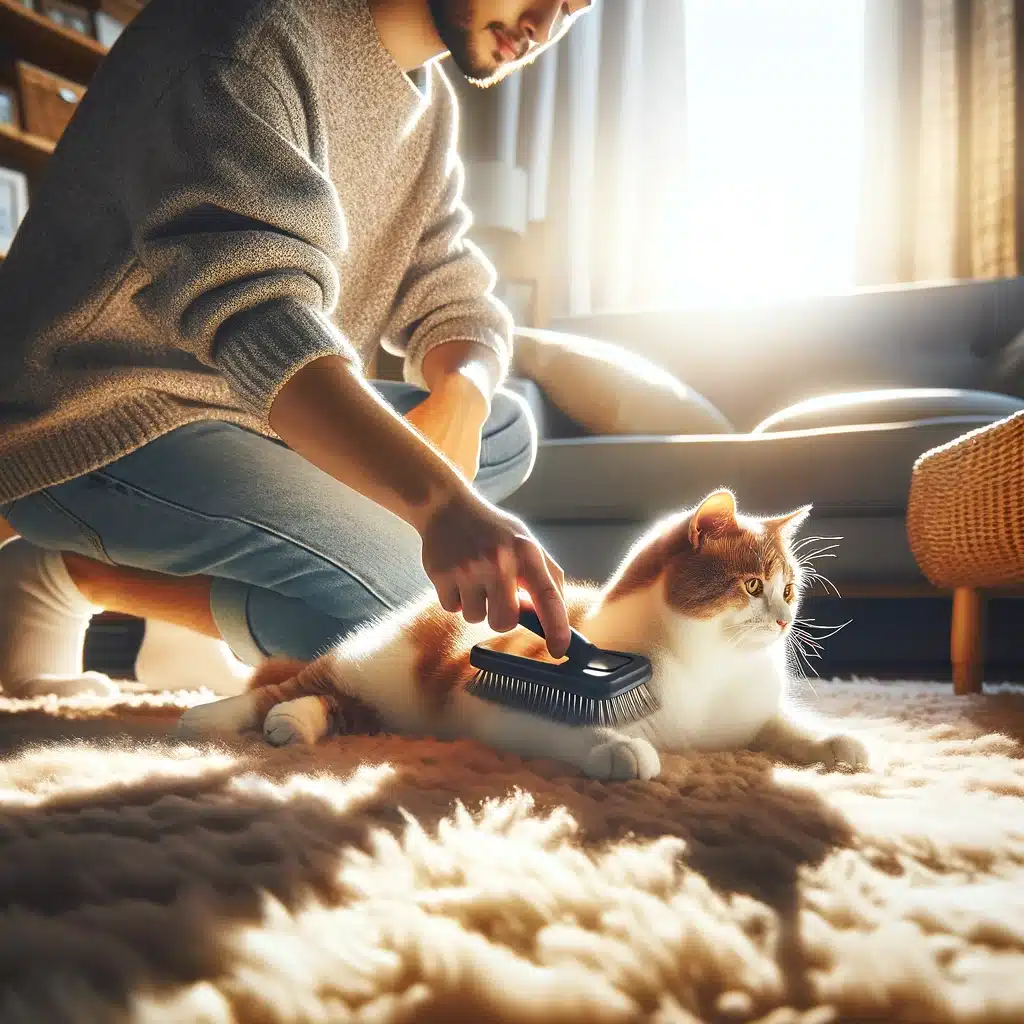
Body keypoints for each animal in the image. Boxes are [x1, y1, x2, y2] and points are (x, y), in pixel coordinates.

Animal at [176, 491, 872, 778]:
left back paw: (294, 725)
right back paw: (205, 719)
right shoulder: (514, 708)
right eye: (752, 585)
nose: (781, 619)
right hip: (374, 663)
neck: (713, 669)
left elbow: (786, 726)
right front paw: (621, 750)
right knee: (288, 685)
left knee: (333, 705)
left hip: (387, 707)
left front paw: (839, 741)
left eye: (790, 589)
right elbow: (579, 725)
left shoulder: (751, 715)